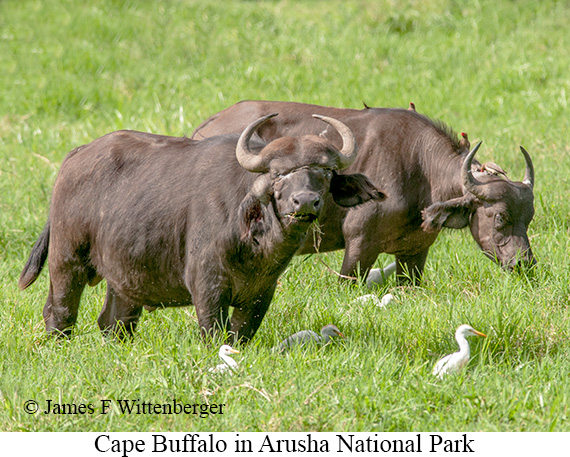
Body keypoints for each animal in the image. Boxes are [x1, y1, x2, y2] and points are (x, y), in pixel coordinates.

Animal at [18, 114, 382, 342]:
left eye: (324, 171)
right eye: (278, 174)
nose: (305, 201)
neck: (257, 244)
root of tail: (75, 156)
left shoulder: (261, 293)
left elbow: (241, 333)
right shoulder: (207, 286)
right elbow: (212, 331)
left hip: (124, 274)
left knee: (114, 322)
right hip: (67, 260)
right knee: (59, 312)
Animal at [193, 101, 536, 284]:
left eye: (529, 219)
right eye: (500, 218)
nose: (524, 265)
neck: (418, 168)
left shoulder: (414, 252)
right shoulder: (359, 246)